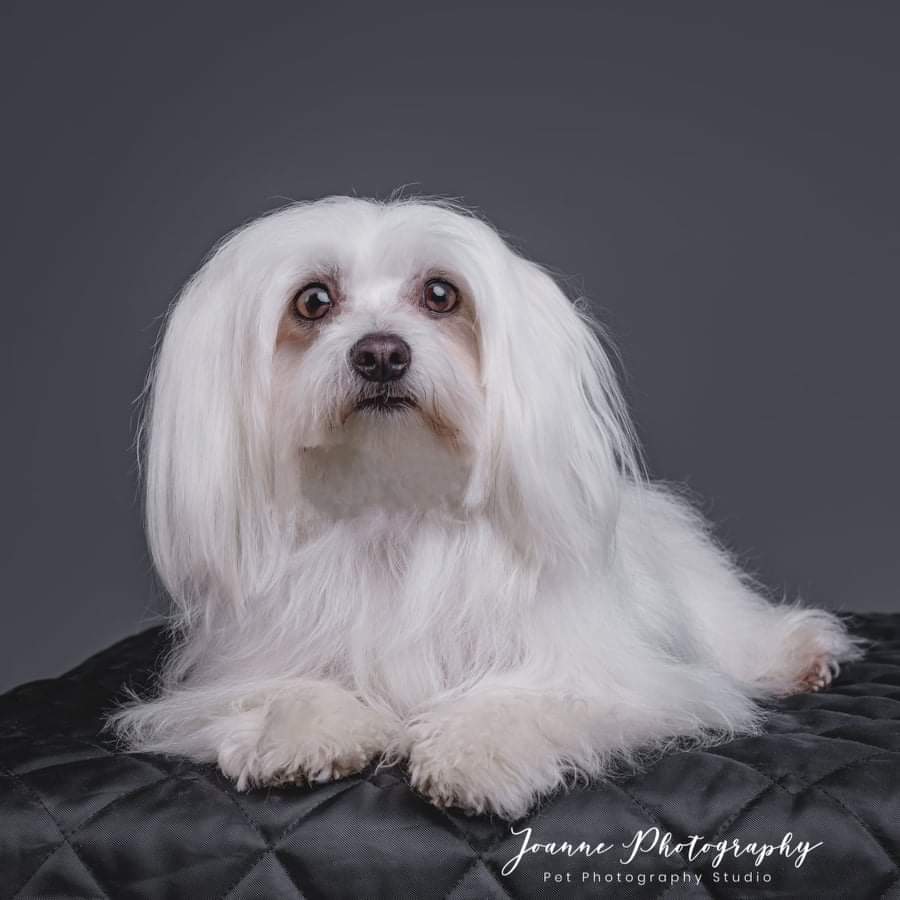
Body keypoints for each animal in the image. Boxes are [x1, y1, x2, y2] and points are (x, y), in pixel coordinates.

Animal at [111, 197, 860, 819]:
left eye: (441, 294)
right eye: (313, 301)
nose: (380, 353)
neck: (395, 501)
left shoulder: (610, 678)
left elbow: (523, 699)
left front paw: (473, 754)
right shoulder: (241, 670)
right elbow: (289, 688)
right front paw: (301, 734)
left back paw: (801, 655)